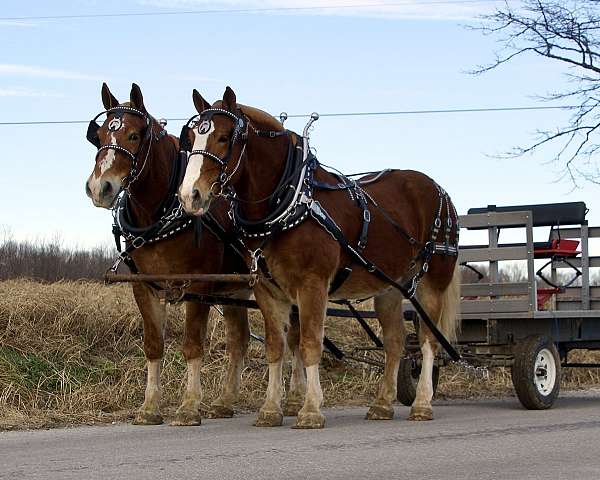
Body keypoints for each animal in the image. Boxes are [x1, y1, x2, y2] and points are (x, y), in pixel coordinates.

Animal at [85, 84, 251, 426]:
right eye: (101, 135)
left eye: (134, 135)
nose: (99, 188)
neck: (159, 214)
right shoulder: (144, 285)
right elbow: (153, 345)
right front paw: (150, 408)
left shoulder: (198, 285)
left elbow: (192, 345)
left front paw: (189, 406)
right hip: (235, 288)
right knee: (239, 340)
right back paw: (226, 402)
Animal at [177, 88, 460, 430]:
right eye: (192, 136)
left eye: (224, 137)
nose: (189, 195)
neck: (290, 201)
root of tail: (439, 190)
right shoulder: (267, 289)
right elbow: (276, 346)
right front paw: (270, 410)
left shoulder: (313, 284)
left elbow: (310, 343)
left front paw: (310, 409)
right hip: (391, 287)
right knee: (395, 343)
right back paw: (381, 405)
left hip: (432, 281)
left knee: (429, 340)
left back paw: (422, 403)